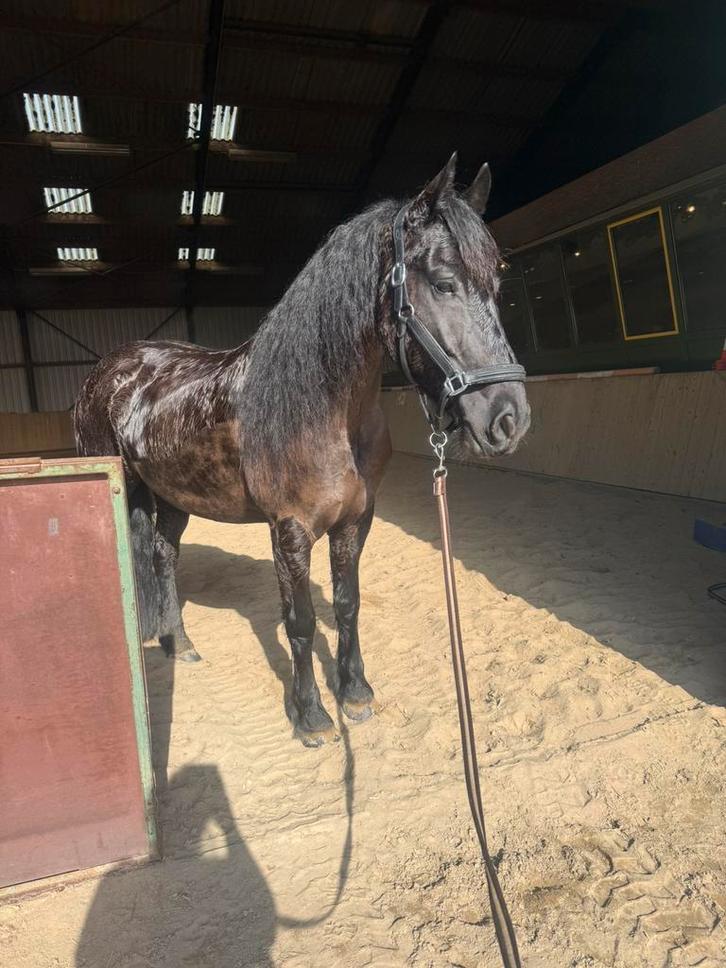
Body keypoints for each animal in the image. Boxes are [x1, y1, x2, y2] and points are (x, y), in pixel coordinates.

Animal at [74, 153, 530, 747]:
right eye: (444, 283)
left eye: (497, 282)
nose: (509, 418)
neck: (324, 410)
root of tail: (109, 370)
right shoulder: (289, 531)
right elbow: (301, 622)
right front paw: (312, 717)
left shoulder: (355, 520)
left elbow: (347, 604)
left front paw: (355, 693)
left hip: (174, 497)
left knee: (163, 555)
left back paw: (182, 645)